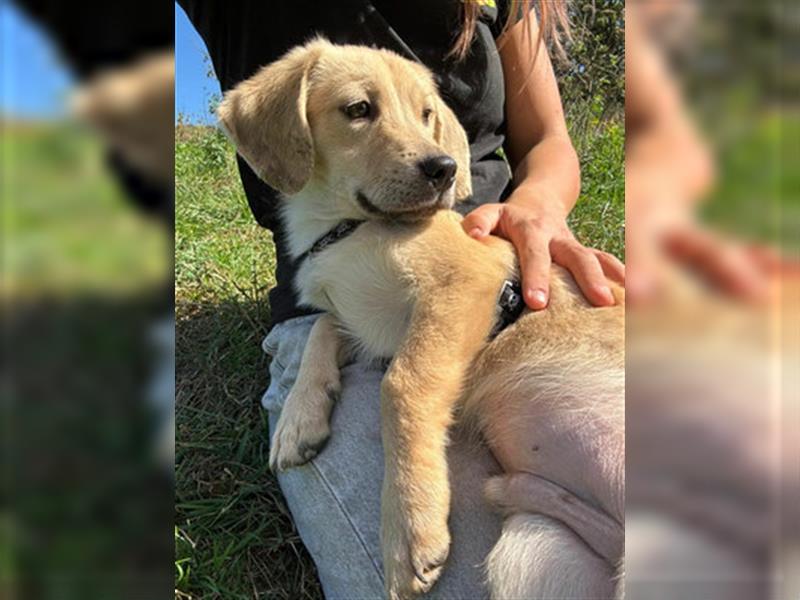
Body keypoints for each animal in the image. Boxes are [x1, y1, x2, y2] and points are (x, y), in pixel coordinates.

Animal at [219, 39, 624, 596]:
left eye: (427, 114)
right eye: (358, 109)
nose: (445, 169)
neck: (347, 227)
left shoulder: (465, 286)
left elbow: (403, 384)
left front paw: (410, 528)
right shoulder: (371, 323)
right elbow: (323, 326)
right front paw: (300, 418)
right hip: (534, 549)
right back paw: (515, 488)